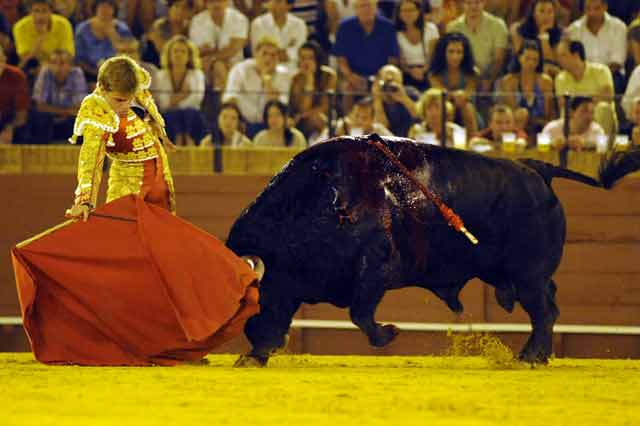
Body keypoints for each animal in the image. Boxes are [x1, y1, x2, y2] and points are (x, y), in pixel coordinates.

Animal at [226, 136, 640, 366]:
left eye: (253, 296)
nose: (247, 348)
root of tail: (536, 169)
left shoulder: (375, 270)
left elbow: (360, 313)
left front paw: (389, 334)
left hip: (528, 278)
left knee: (544, 312)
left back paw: (530, 358)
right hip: (523, 278)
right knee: (548, 309)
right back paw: (539, 356)